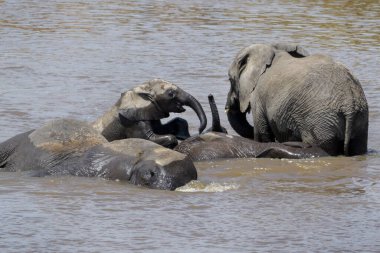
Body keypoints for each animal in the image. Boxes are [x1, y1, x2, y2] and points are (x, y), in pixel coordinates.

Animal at [226, 43, 368, 156]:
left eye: (230, 80)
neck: (271, 49)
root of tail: (349, 103)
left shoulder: (259, 96)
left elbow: (262, 134)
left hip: (319, 121)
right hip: (359, 118)